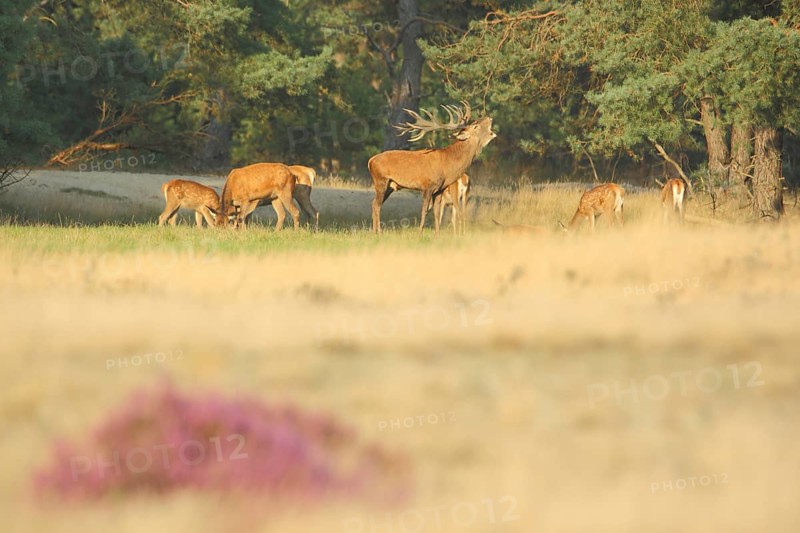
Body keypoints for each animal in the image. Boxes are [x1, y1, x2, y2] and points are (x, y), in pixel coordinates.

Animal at [368, 101, 496, 234]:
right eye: (475, 126)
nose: (489, 117)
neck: (448, 165)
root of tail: (370, 160)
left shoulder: (439, 190)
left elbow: (437, 213)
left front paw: (437, 234)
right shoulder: (427, 186)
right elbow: (424, 210)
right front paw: (420, 232)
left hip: (390, 185)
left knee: (374, 203)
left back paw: (375, 231)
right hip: (381, 180)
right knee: (377, 204)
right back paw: (378, 232)